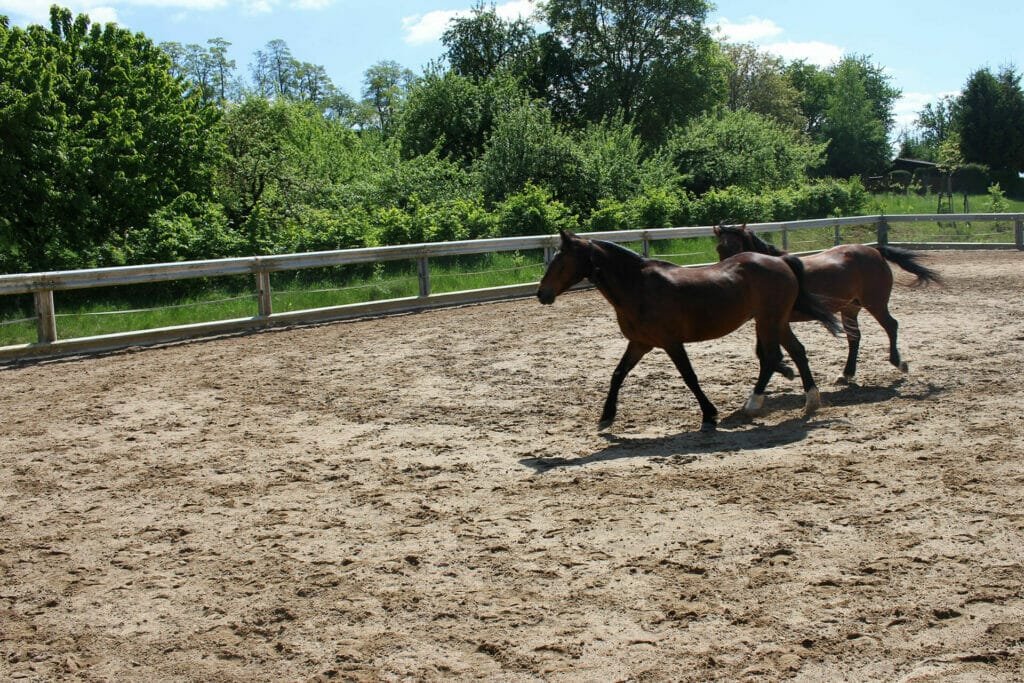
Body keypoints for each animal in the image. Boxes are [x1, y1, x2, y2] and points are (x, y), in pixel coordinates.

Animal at [536, 229, 839, 432]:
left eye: (561, 261)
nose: (542, 294)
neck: (638, 287)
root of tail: (781, 261)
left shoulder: (671, 343)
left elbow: (690, 377)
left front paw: (709, 414)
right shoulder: (639, 343)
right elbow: (618, 375)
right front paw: (606, 416)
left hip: (768, 321)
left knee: (772, 358)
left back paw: (753, 404)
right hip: (776, 321)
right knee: (796, 352)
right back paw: (811, 401)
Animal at [716, 225, 937, 382]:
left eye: (736, 246)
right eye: (719, 248)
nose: (729, 277)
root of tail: (875, 250)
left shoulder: (771, 320)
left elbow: (764, 353)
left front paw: (786, 370)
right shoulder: (765, 321)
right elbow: (761, 352)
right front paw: (786, 370)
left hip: (876, 303)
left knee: (891, 326)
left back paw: (898, 363)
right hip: (850, 308)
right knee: (854, 337)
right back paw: (846, 373)